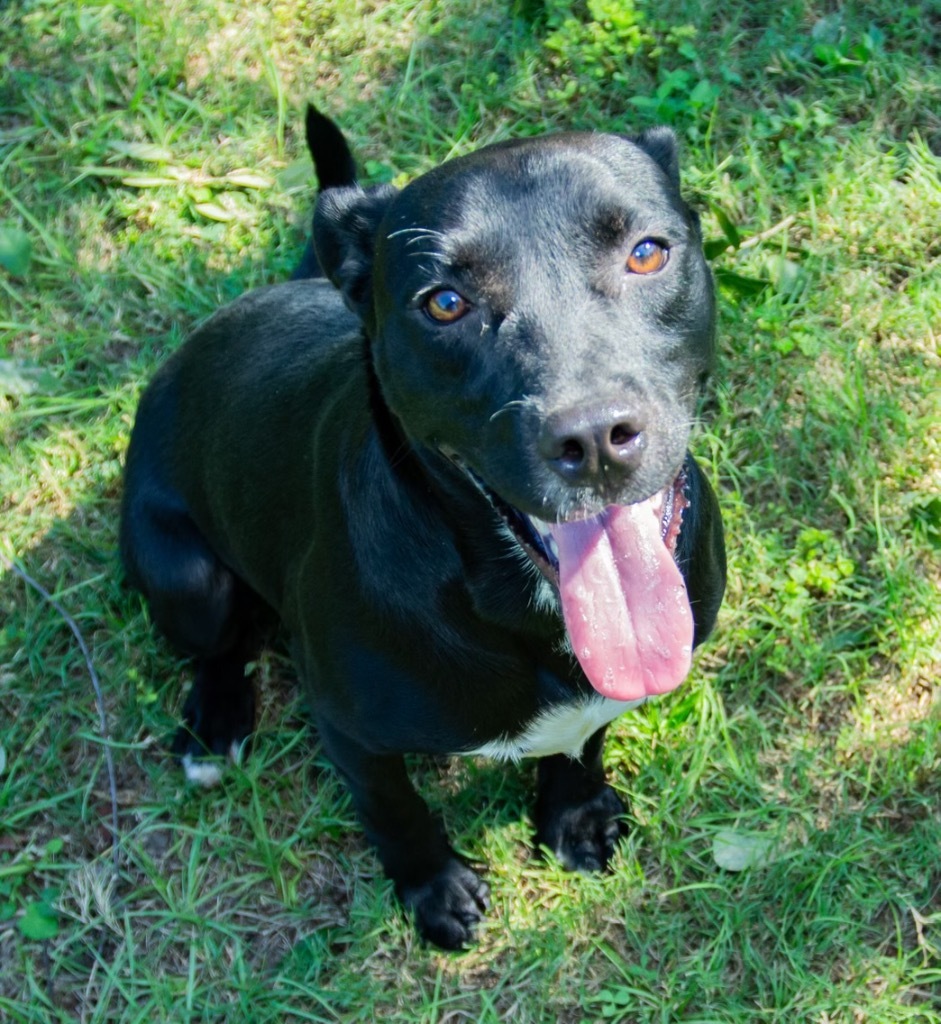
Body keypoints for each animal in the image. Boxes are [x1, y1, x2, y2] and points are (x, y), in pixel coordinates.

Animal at [119, 117, 729, 942]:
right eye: (443, 302)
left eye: (646, 253)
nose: (593, 438)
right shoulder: (348, 729)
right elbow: (395, 809)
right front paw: (433, 889)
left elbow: (583, 737)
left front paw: (573, 816)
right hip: (187, 581)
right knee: (220, 643)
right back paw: (217, 719)